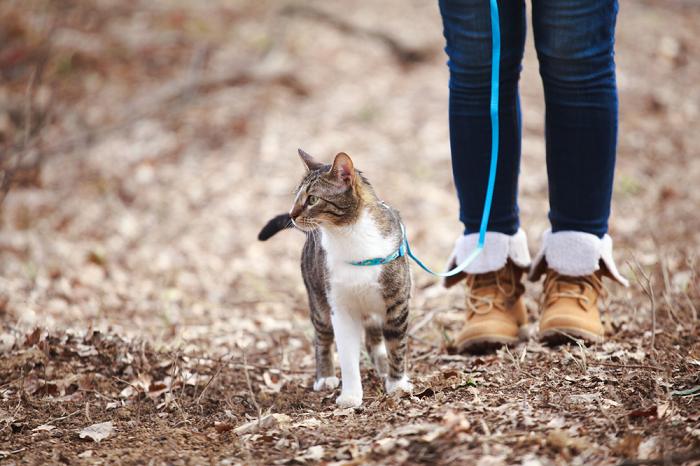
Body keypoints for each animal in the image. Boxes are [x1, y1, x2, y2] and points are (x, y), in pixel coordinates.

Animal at [258, 150, 412, 408]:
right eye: (297, 197)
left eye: (312, 199)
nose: (291, 215)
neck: (351, 237)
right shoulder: (339, 308)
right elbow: (347, 354)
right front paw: (350, 395)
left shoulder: (397, 304)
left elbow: (396, 346)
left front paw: (397, 383)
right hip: (318, 299)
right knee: (322, 338)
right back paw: (325, 377)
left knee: (374, 340)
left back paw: (382, 367)